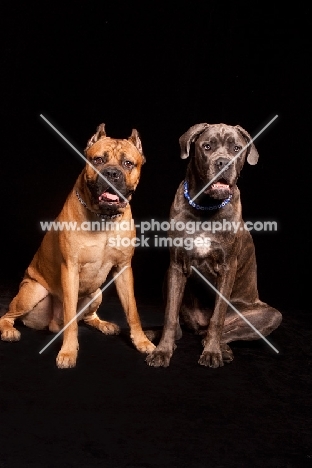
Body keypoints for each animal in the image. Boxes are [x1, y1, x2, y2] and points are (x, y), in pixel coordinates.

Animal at [0, 124, 155, 370]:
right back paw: (8, 331)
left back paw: (103, 324)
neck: (103, 218)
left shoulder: (123, 269)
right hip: (33, 291)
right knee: (7, 315)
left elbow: (132, 311)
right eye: (98, 160)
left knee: (88, 317)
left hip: (96, 293)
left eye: (128, 163)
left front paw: (141, 341)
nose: (111, 173)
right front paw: (68, 352)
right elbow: (71, 319)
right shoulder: (70, 269)